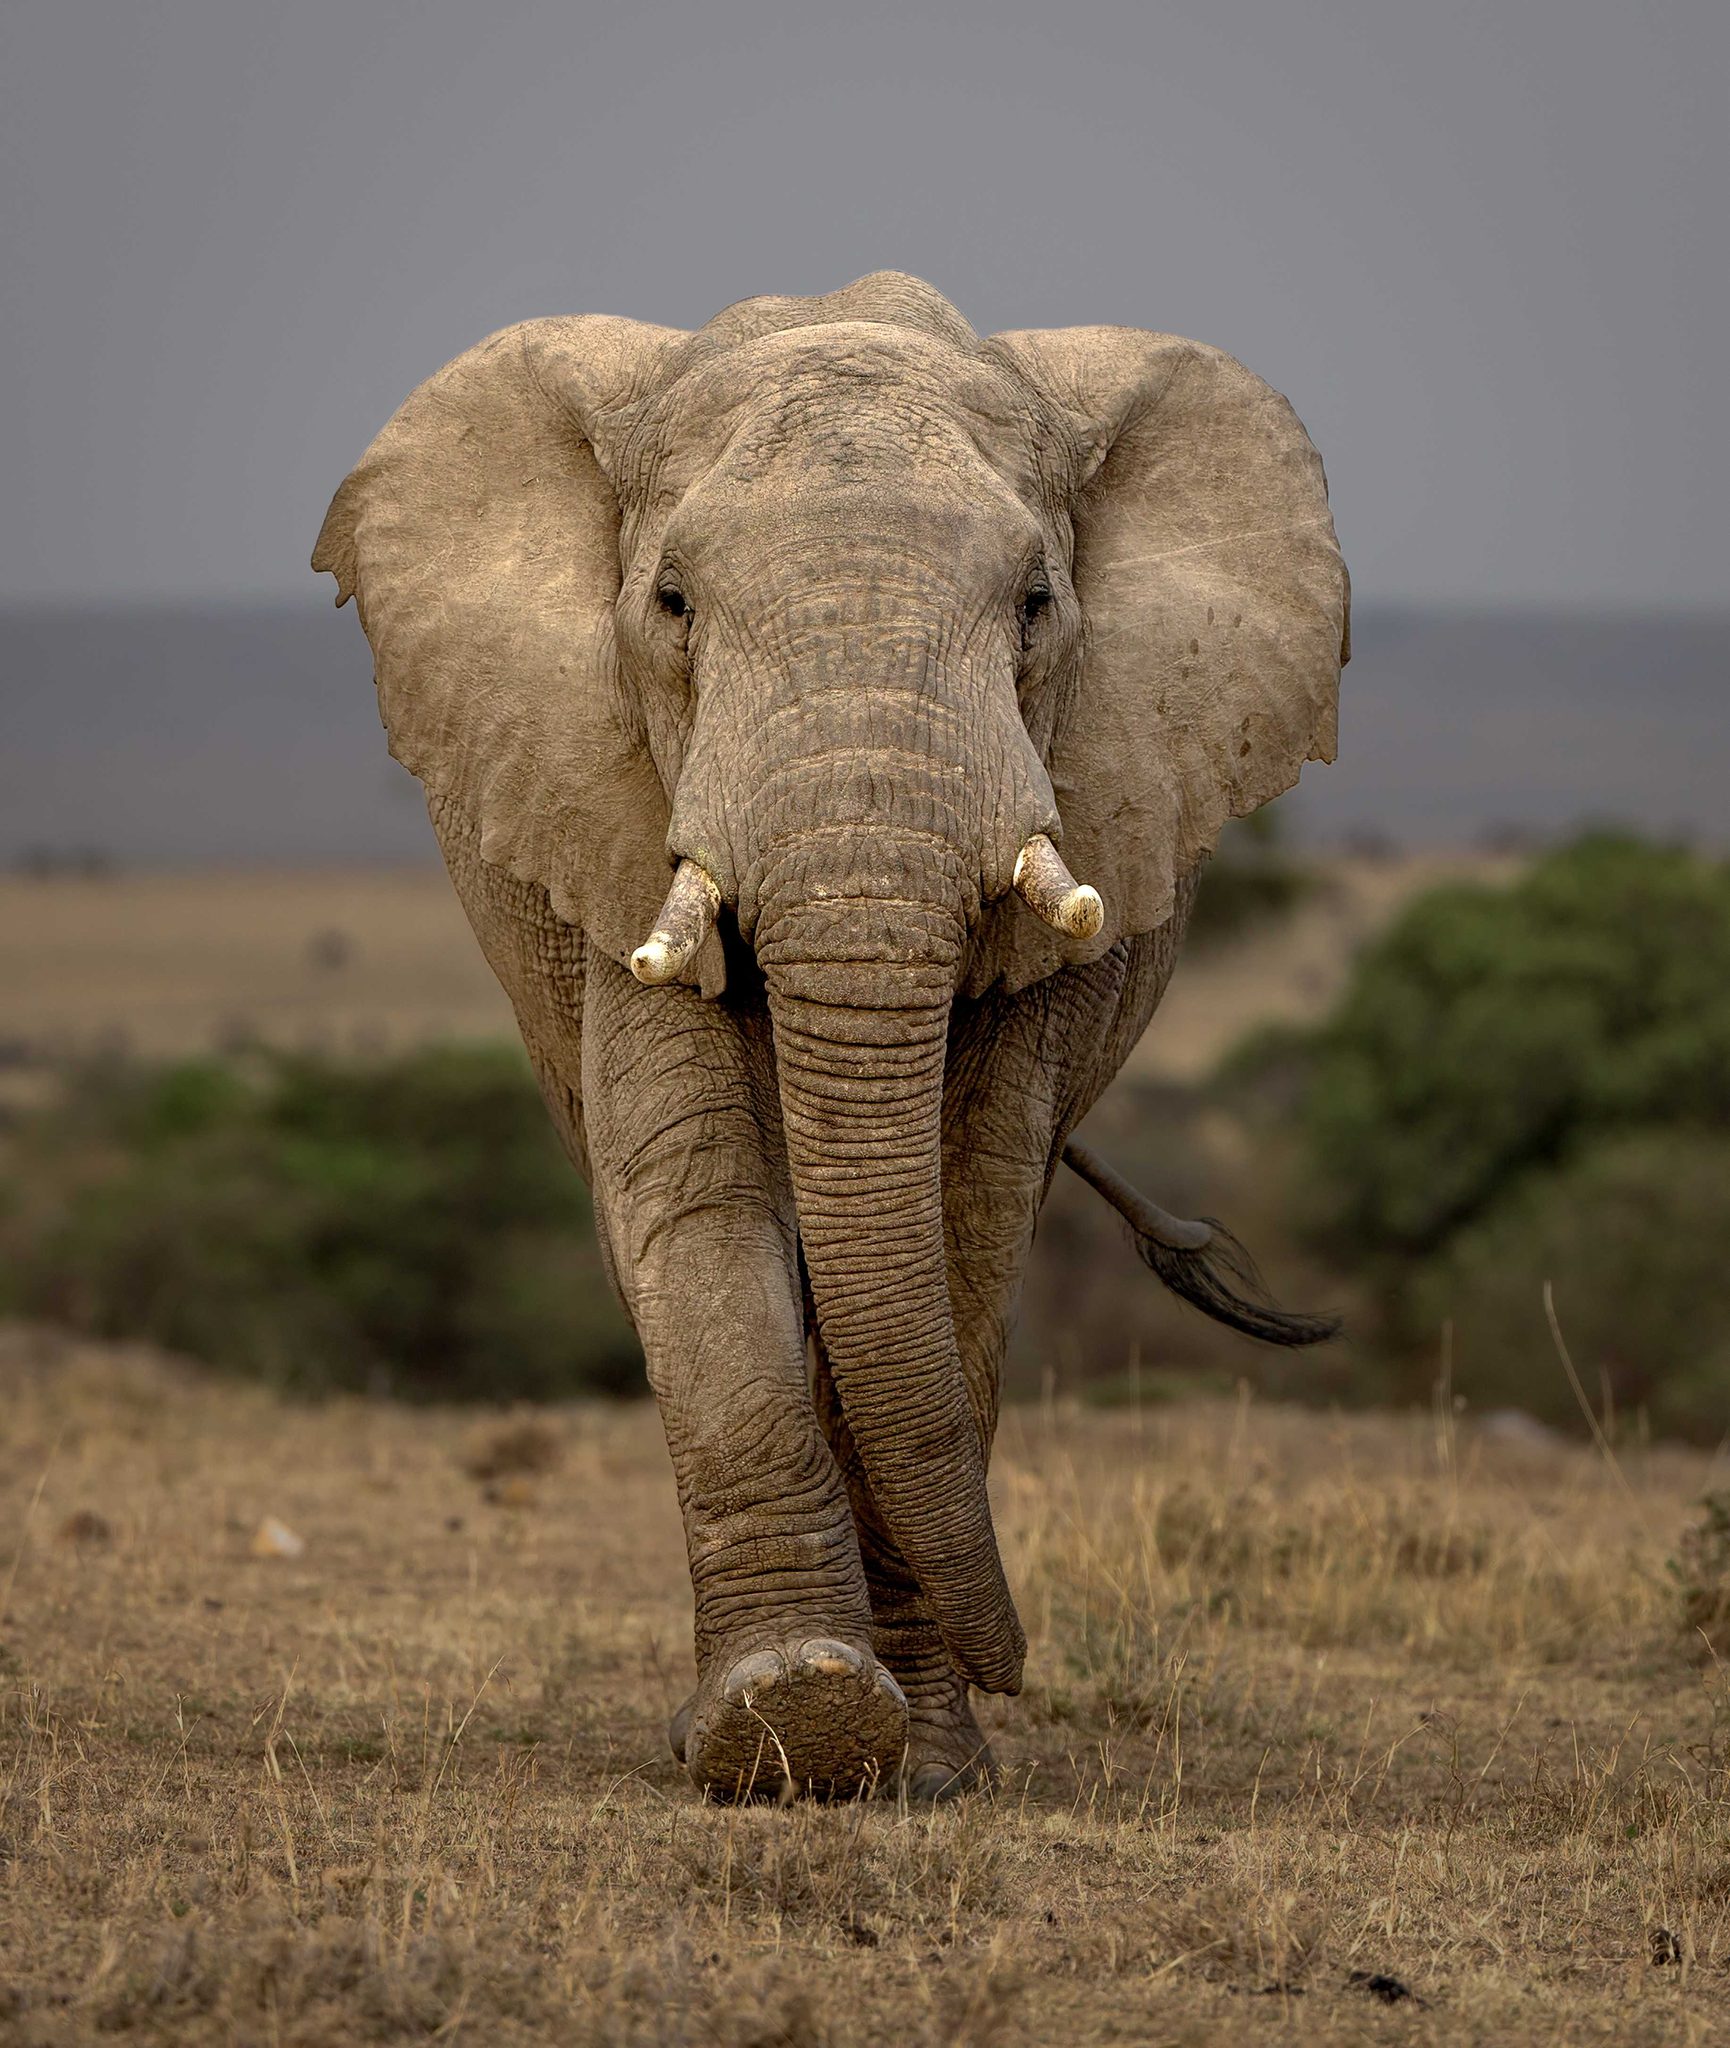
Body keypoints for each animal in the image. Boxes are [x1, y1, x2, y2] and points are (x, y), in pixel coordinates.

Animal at [313, 272, 1348, 1801]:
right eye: (672, 604)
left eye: (1035, 605)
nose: (1016, 1663)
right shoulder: (613, 803)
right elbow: (693, 1176)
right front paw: (788, 1721)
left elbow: (961, 1208)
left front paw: (919, 1763)